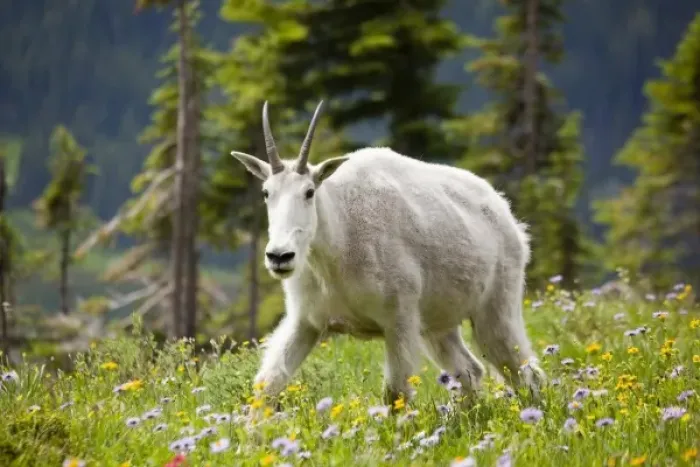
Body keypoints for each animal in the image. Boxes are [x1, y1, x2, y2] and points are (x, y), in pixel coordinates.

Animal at [231, 101, 546, 406]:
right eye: (266, 192)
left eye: (309, 192)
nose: (279, 257)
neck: (336, 245)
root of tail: (507, 215)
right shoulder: (305, 321)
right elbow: (268, 385)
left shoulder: (399, 320)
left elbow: (396, 394)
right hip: (437, 323)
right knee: (469, 370)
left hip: (497, 306)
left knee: (524, 369)